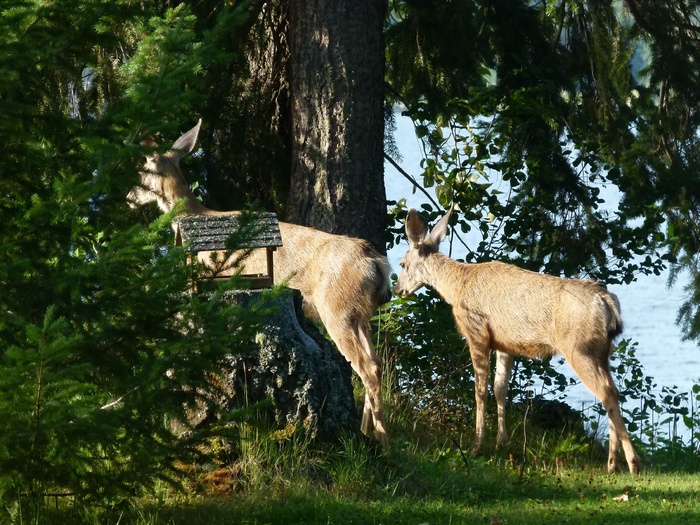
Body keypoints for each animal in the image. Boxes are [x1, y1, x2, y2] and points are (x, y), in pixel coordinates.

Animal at [128, 119, 392, 446]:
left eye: (142, 170)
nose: (128, 197)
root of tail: (377, 262)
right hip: (361, 315)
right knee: (375, 362)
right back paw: (369, 431)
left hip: (337, 308)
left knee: (367, 367)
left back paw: (382, 441)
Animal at [394, 206, 640, 474]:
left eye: (402, 264)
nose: (398, 290)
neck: (457, 285)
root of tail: (607, 303)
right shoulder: (505, 343)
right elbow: (500, 388)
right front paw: (501, 441)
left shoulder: (477, 333)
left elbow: (479, 390)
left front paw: (477, 444)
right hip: (603, 351)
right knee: (612, 391)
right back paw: (612, 464)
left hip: (578, 347)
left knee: (606, 392)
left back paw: (632, 463)